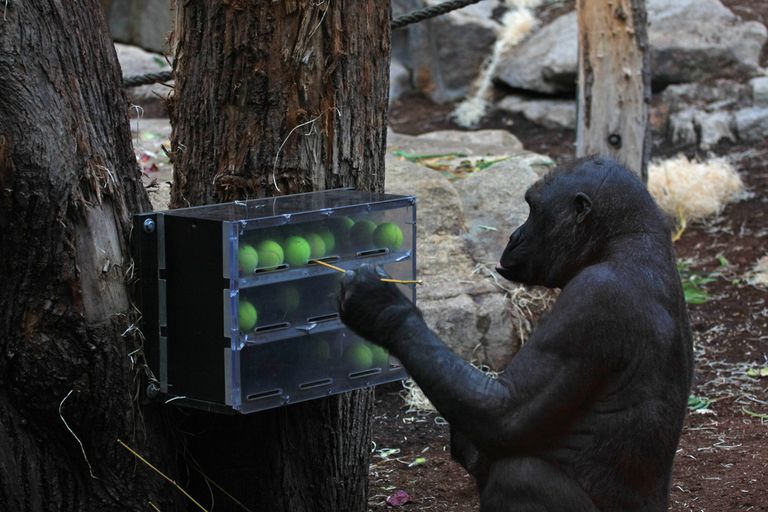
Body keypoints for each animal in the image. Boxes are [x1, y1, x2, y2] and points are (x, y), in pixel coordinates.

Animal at [340, 157, 692, 512]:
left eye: (533, 209)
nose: (514, 235)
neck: (620, 244)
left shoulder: (592, 299)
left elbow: (503, 411)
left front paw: (382, 307)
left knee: (519, 475)